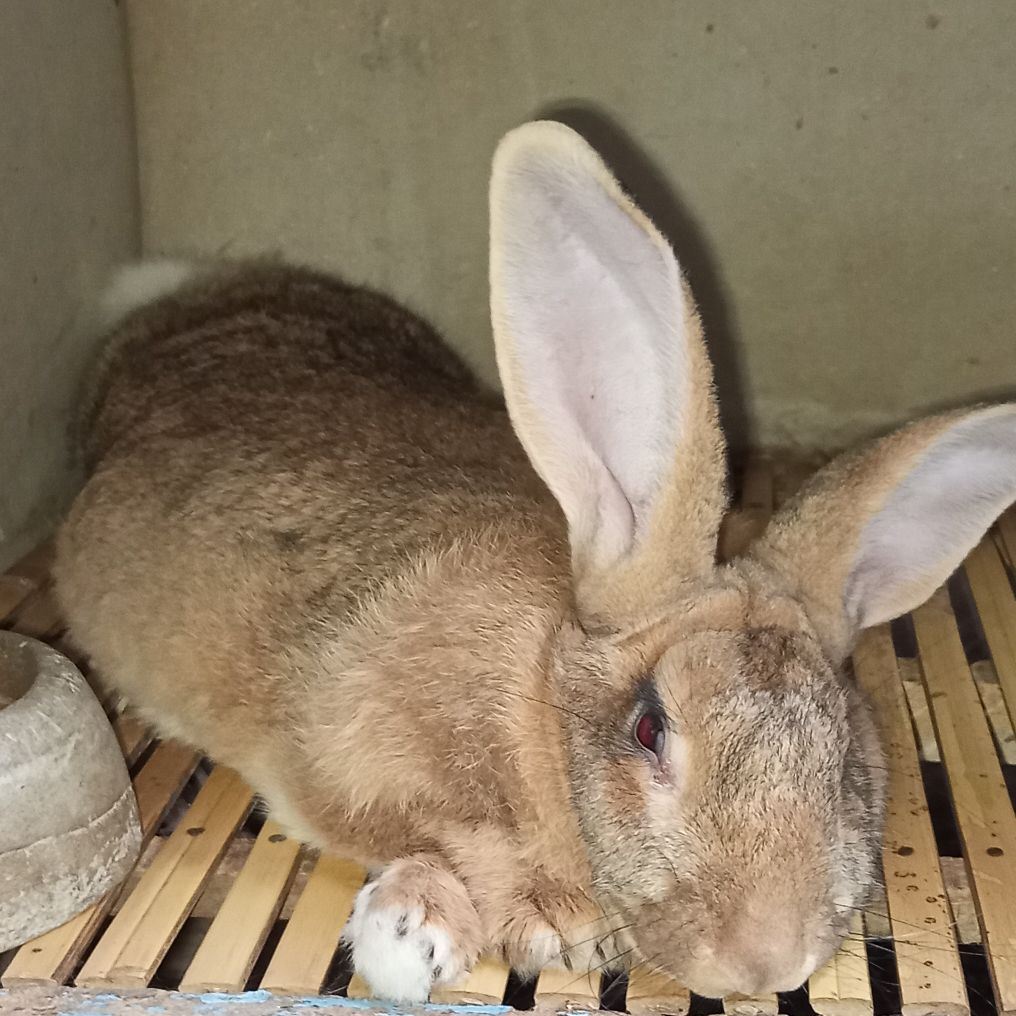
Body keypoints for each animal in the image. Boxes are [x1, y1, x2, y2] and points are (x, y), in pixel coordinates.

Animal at [55, 120, 1016, 1004]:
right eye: (649, 729)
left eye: (845, 754)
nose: (767, 963)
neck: (541, 712)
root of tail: (177, 292)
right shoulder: (340, 747)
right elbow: (431, 835)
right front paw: (443, 930)